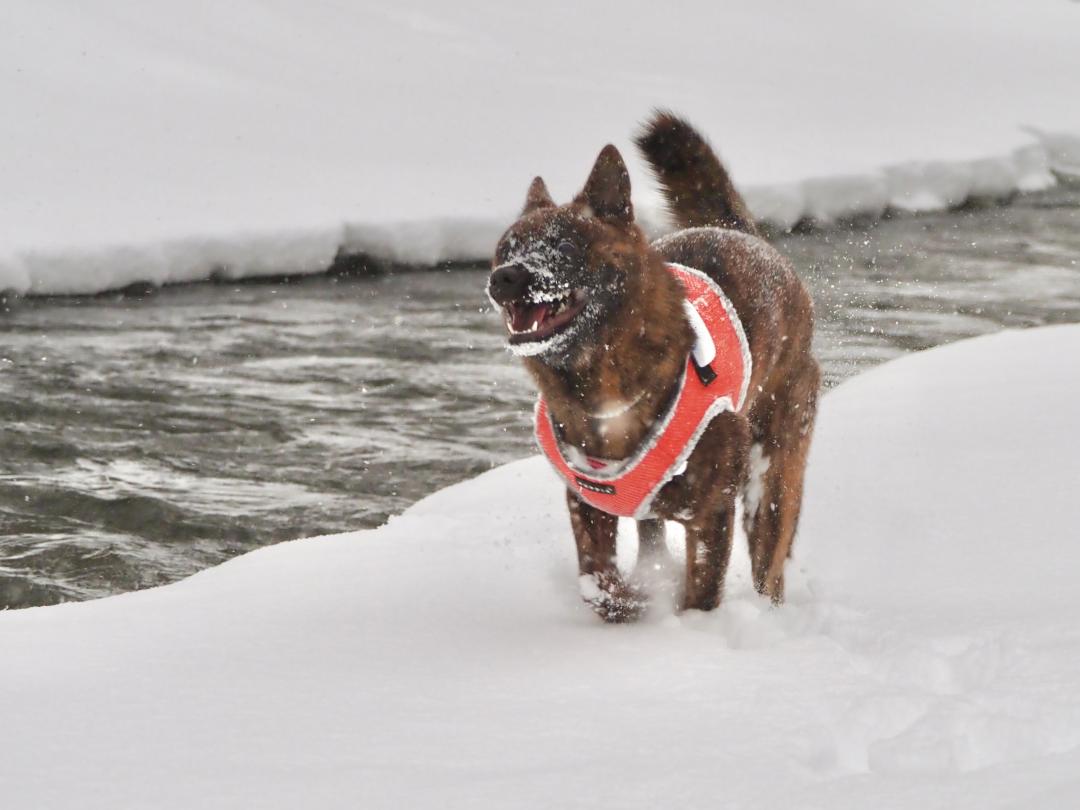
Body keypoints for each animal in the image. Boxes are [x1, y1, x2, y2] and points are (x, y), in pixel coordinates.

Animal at [490, 112, 816, 622]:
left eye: (563, 245)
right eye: (507, 247)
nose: (501, 278)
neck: (602, 381)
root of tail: (743, 233)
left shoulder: (712, 514)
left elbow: (700, 594)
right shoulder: (587, 503)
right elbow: (597, 581)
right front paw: (631, 602)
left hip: (774, 476)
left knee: (771, 565)